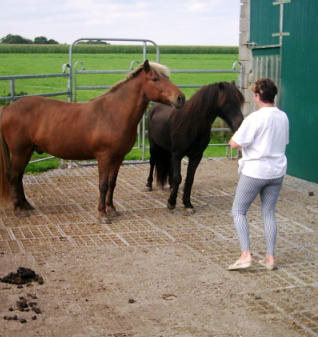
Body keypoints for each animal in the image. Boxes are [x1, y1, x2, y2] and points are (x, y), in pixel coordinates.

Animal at [0, 59, 185, 223]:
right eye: (155, 79)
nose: (180, 98)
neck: (113, 114)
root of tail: (8, 108)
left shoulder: (118, 157)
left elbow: (112, 183)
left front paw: (112, 209)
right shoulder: (104, 157)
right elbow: (103, 184)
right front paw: (102, 214)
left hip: (27, 151)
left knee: (19, 176)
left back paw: (26, 205)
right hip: (20, 151)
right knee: (13, 175)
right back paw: (18, 209)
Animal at [146, 80, 243, 211]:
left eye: (239, 101)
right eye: (227, 102)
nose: (239, 123)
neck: (192, 123)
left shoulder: (196, 156)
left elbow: (189, 179)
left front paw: (187, 204)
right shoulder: (177, 154)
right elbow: (178, 178)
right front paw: (171, 202)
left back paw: (171, 186)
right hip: (154, 145)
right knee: (152, 162)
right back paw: (149, 184)